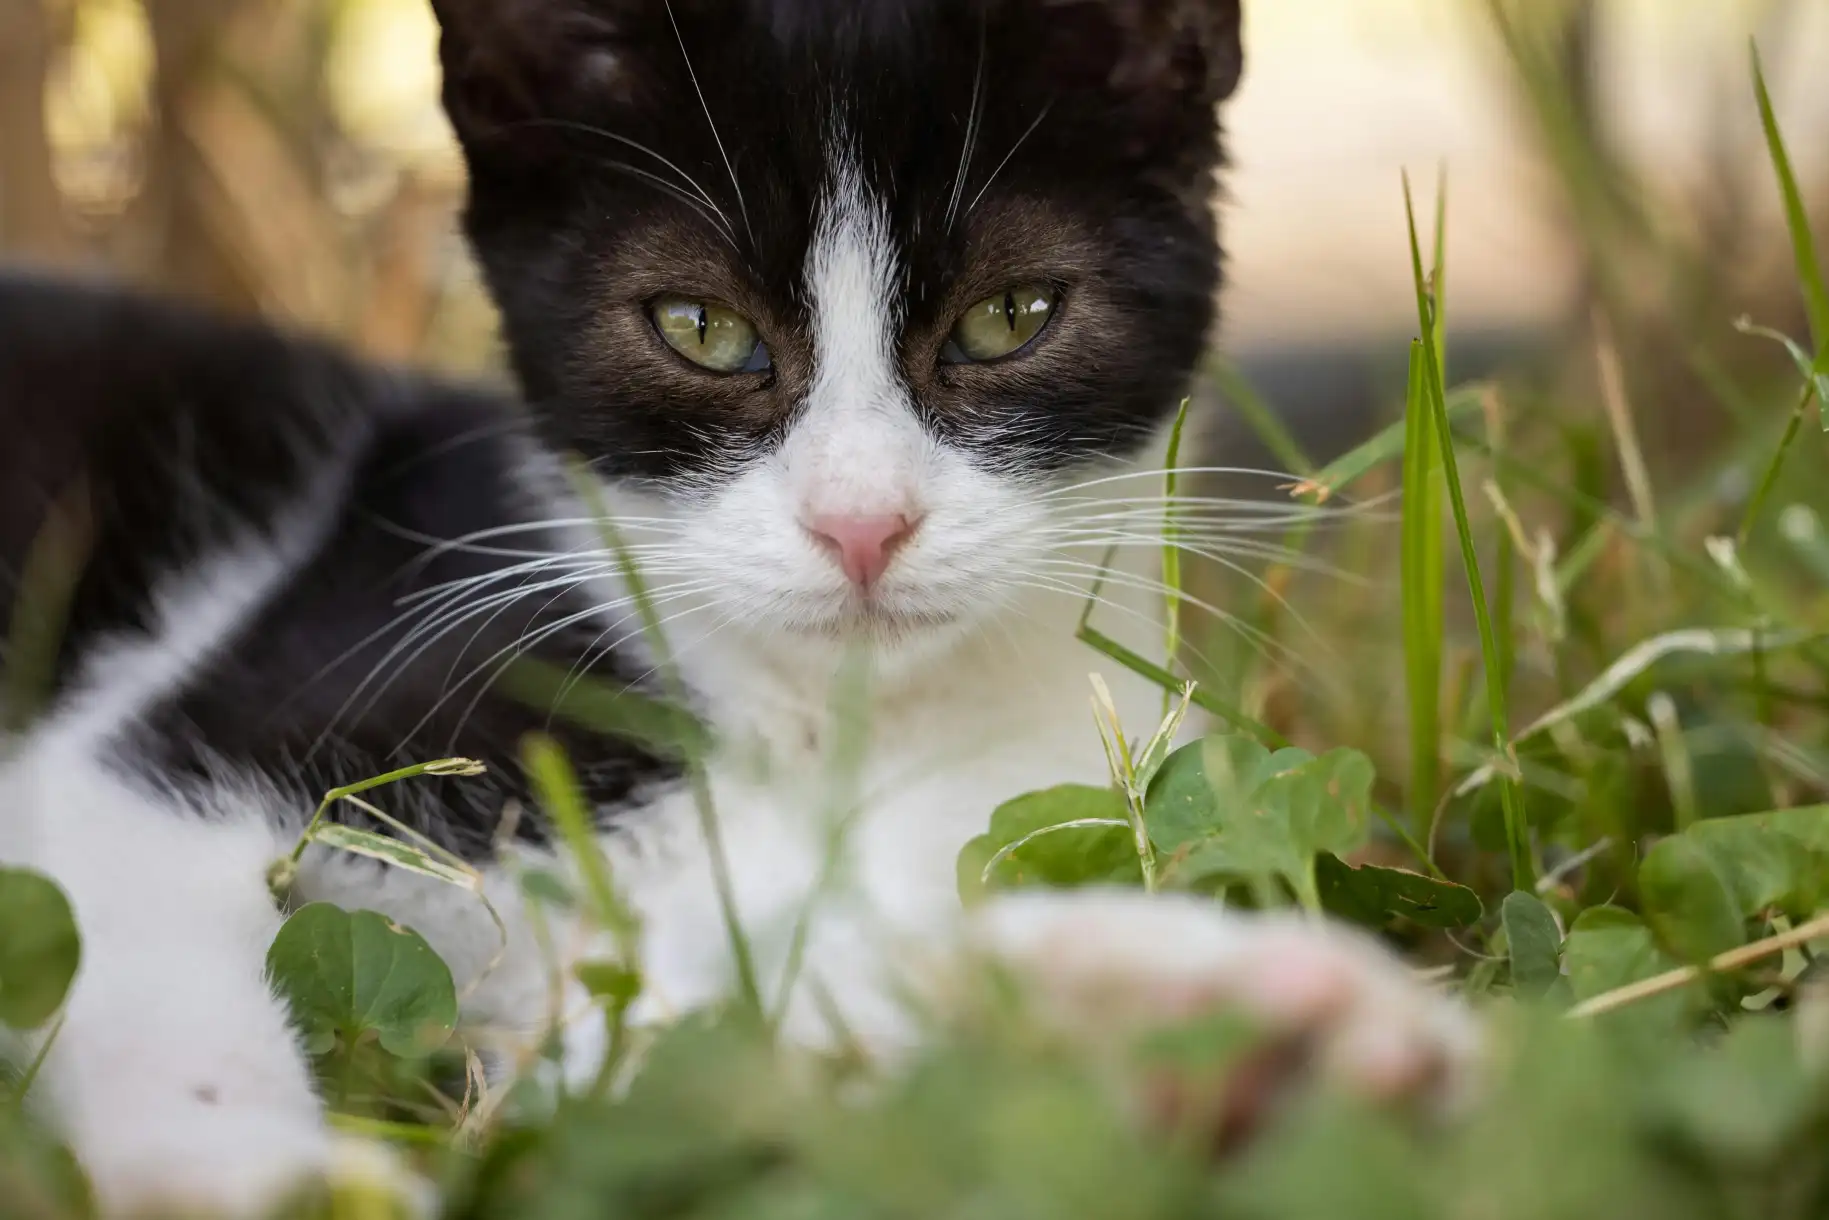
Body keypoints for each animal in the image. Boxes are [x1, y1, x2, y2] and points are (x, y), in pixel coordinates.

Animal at [0, 0, 1470, 1214]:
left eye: (1012, 315)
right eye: (699, 327)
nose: (861, 522)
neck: (815, 722)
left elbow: (753, 1015)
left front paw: (1188, 1029)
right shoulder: (213, 733)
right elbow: (142, 947)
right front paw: (258, 1175)